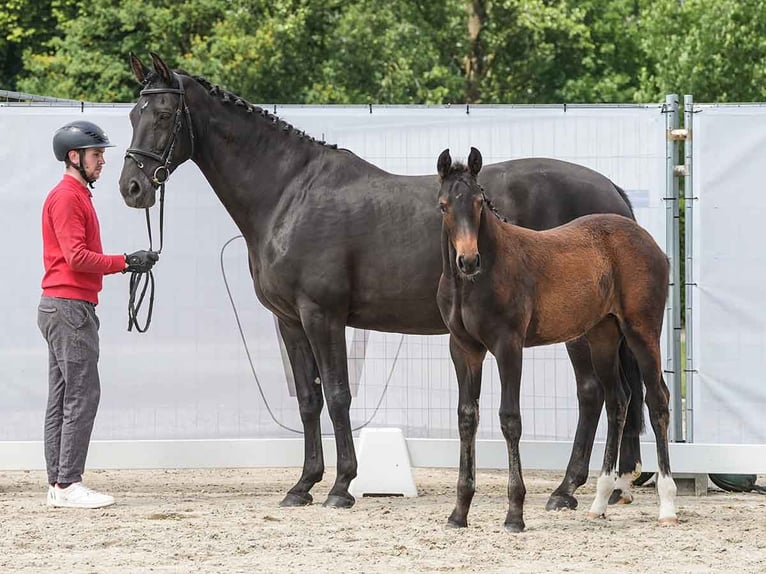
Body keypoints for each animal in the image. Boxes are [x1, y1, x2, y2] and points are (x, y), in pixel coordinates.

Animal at [120, 54, 644, 510]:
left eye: (164, 114)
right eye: (132, 113)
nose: (132, 187)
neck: (289, 193)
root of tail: (610, 194)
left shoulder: (323, 315)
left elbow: (337, 395)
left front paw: (341, 486)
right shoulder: (290, 321)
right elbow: (309, 400)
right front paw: (303, 485)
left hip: (576, 327)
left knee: (593, 394)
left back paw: (567, 490)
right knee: (613, 395)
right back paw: (604, 485)